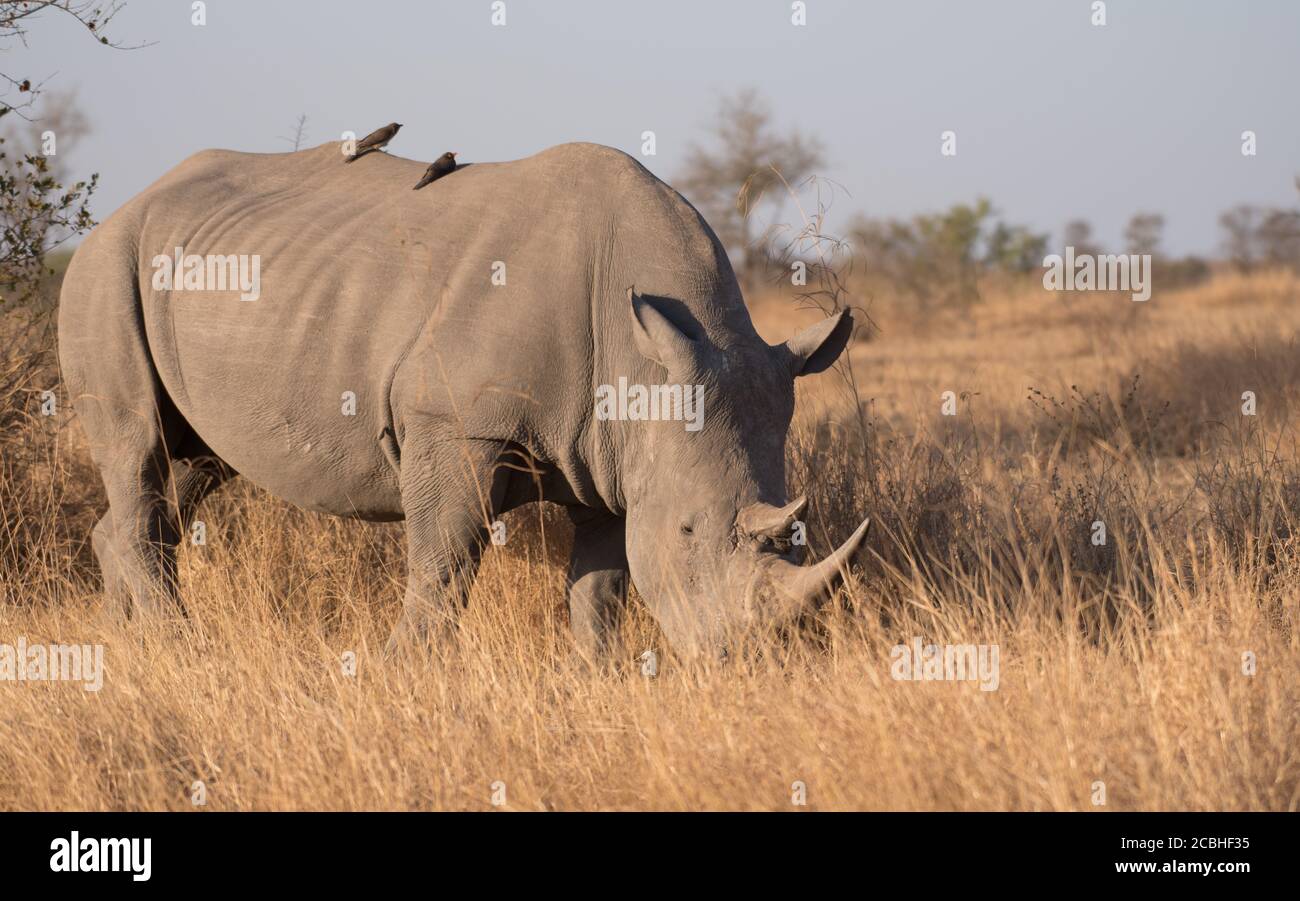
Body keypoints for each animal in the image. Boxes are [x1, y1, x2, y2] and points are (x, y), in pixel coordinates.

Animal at [61, 142, 873, 660]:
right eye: (687, 531)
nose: (744, 659)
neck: (643, 360)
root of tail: (123, 209)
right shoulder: (455, 422)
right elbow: (445, 560)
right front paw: (399, 673)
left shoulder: (615, 459)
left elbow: (601, 585)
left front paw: (597, 676)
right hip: (106, 270)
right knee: (137, 443)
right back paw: (182, 650)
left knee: (190, 462)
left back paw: (123, 647)